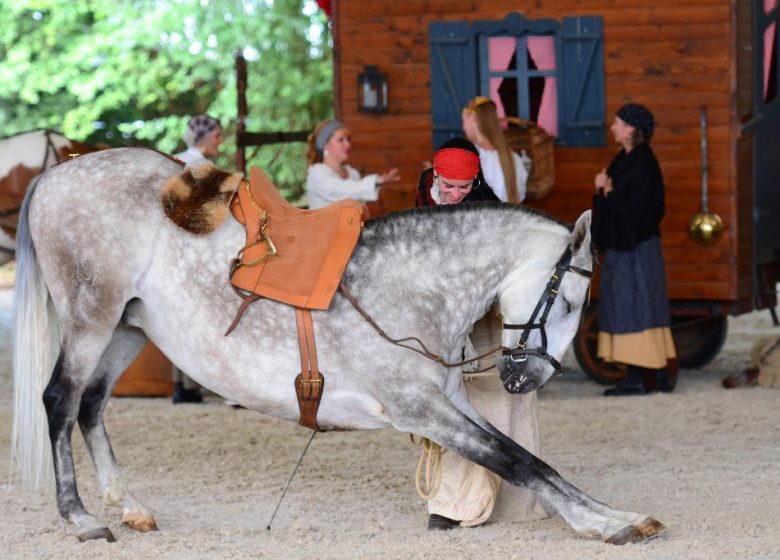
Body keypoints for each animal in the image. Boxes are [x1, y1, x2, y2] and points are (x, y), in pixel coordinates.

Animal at [12, 147, 664, 544]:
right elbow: (519, 462)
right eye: (572, 302)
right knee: (60, 402)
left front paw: (617, 514)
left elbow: (534, 462)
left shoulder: (449, 403)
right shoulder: (420, 408)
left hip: (126, 329)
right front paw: (600, 525)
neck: (413, 284)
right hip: (91, 319)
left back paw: (129, 505)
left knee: (92, 407)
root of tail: (57, 172)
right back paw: (80, 518)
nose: (527, 379)